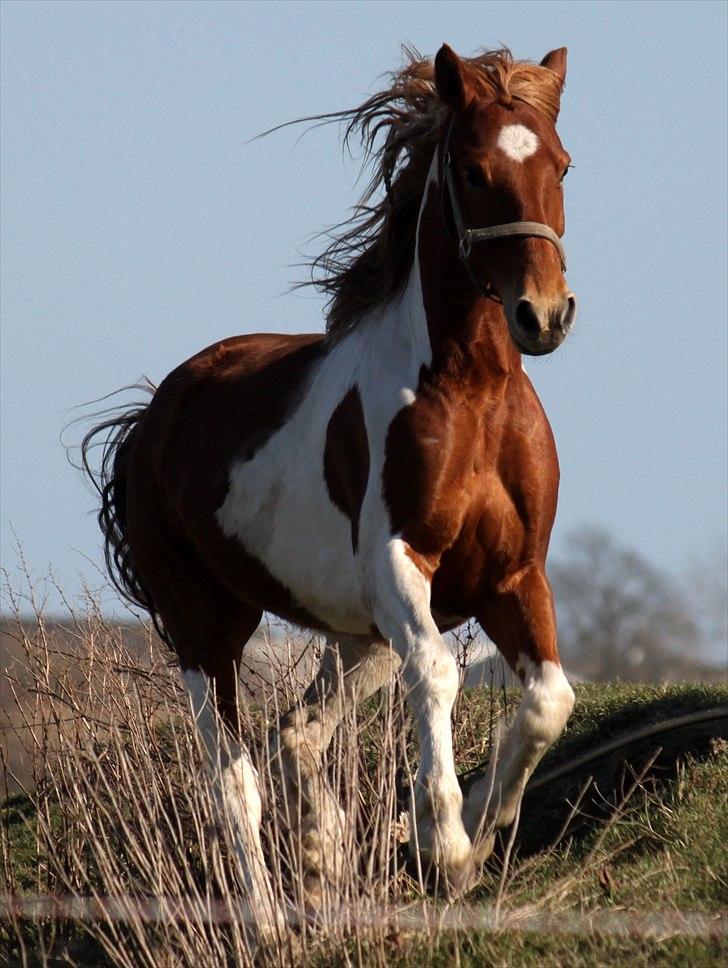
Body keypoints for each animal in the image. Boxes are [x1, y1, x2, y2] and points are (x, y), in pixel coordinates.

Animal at [83, 43, 577, 929]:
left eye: (562, 164)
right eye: (474, 170)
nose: (543, 316)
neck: (472, 395)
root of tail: (154, 417)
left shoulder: (514, 578)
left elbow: (550, 700)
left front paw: (475, 829)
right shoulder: (399, 566)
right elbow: (441, 674)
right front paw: (446, 844)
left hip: (357, 638)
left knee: (297, 733)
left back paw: (324, 860)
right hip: (205, 629)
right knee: (234, 777)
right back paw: (269, 921)